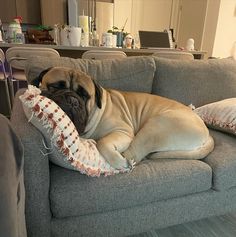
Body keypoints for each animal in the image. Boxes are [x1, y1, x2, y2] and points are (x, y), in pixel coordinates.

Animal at [32, 66, 215, 169]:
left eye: (84, 95)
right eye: (55, 86)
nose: (72, 100)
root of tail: (206, 133)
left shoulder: (123, 132)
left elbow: (103, 142)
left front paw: (116, 160)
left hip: (155, 127)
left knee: (134, 154)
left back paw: (124, 162)